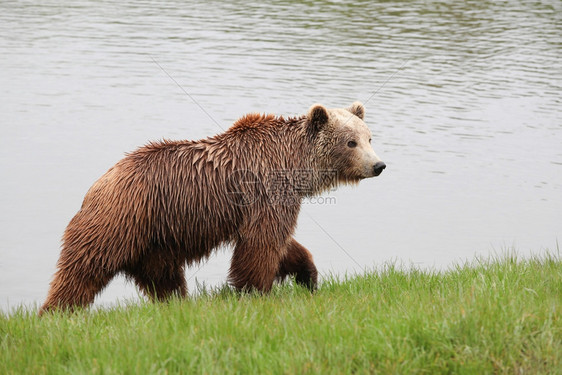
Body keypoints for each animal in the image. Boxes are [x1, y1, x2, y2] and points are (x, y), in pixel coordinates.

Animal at [37, 102, 382, 314]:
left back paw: (177, 304)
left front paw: (307, 276)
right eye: (351, 142)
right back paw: (55, 312)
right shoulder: (265, 190)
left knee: (163, 278)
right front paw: (255, 290)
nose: (378, 165)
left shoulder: (271, 198)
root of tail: (96, 185)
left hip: (154, 242)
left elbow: (281, 243)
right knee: (83, 268)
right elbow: (262, 243)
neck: (293, 165)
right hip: (121, 220)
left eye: (369, 137)